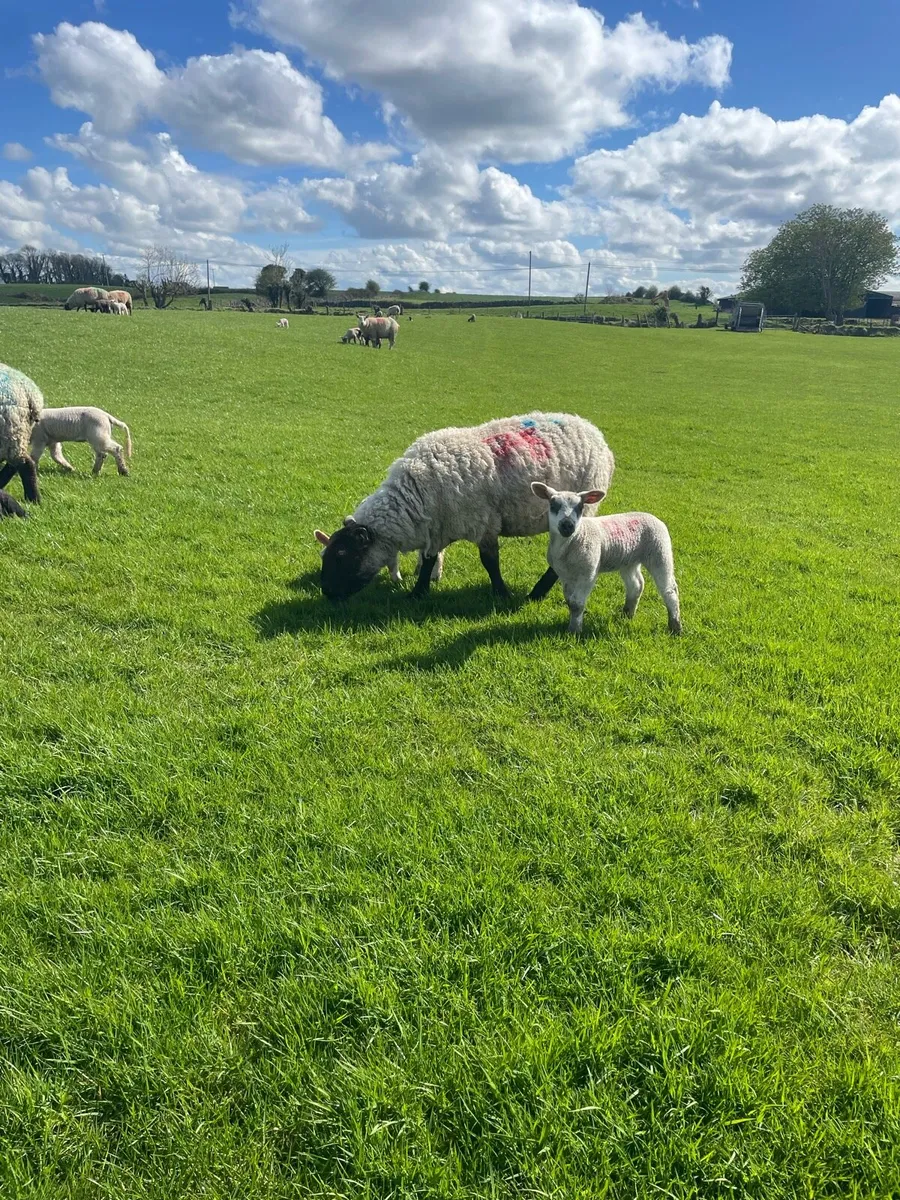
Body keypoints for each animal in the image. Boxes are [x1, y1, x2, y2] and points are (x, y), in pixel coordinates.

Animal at [317, 412, 614, 602]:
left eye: (342, 554)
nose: (328, 593)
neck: (415, 496)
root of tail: (594, 431)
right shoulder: (437, 526)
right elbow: (429, 559)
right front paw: (418, 593)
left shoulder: (484, 523)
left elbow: (490, 562)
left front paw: (501, 594)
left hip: (581, 510)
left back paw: (537, 593)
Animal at [530, 482, 682, 636]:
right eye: (553, 505)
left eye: (580, 507)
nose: (567, 525)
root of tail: (653, 516)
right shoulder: (564, 575)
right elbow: (569, 601)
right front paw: (572, 627)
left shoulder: (588, 573)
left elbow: (577, 603)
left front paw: (575, 631)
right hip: (629, 560)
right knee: (636, 584)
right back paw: (627, 614)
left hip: (660, 551)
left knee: (670, 589)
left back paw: (675, 627)